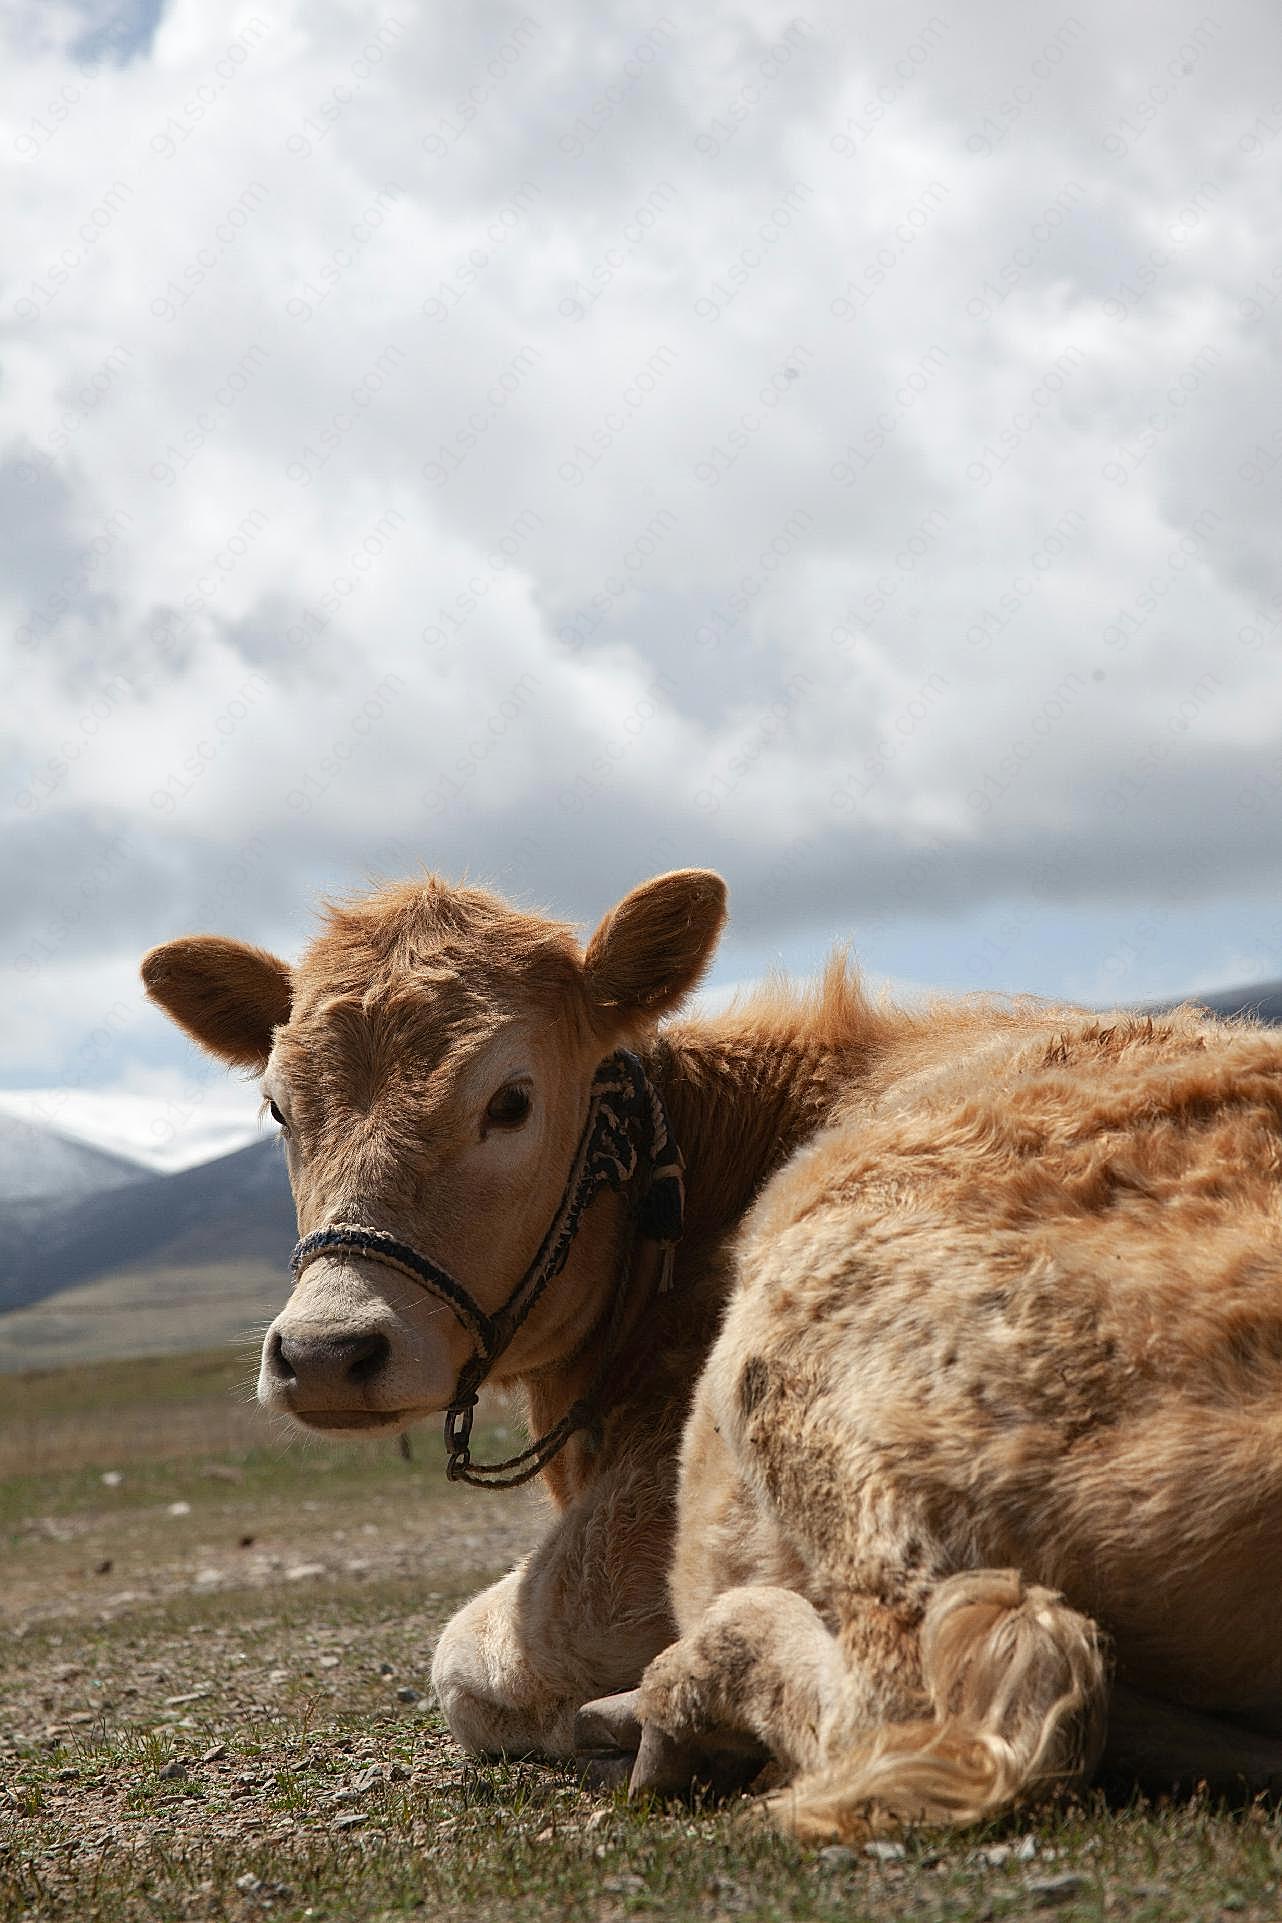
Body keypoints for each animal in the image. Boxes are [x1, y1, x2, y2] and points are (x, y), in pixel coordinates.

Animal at [140, 869, 1282, 1830]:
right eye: (278, 1106)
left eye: (511, 1099)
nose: (327, 1350)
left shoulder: (635, 1526)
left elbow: (469, 1659)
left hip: (801, 1373)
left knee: (959, 1693)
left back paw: (673, 1705)